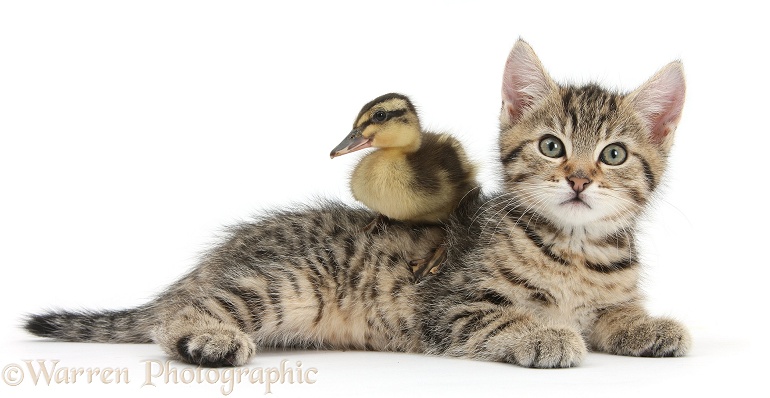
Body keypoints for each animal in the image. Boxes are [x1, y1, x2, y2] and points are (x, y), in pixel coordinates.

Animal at [24, 38, 688, 368]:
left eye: (613, 155)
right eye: (553, 146)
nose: (578, 179)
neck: (575, 247)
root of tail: (208, 263)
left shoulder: (608, 294)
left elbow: (614, 315)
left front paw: (649, 326)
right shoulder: (451, 307)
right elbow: (509, 318)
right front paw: (547, 335)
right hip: (285, 282)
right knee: (177, 317)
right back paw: (207, 340)